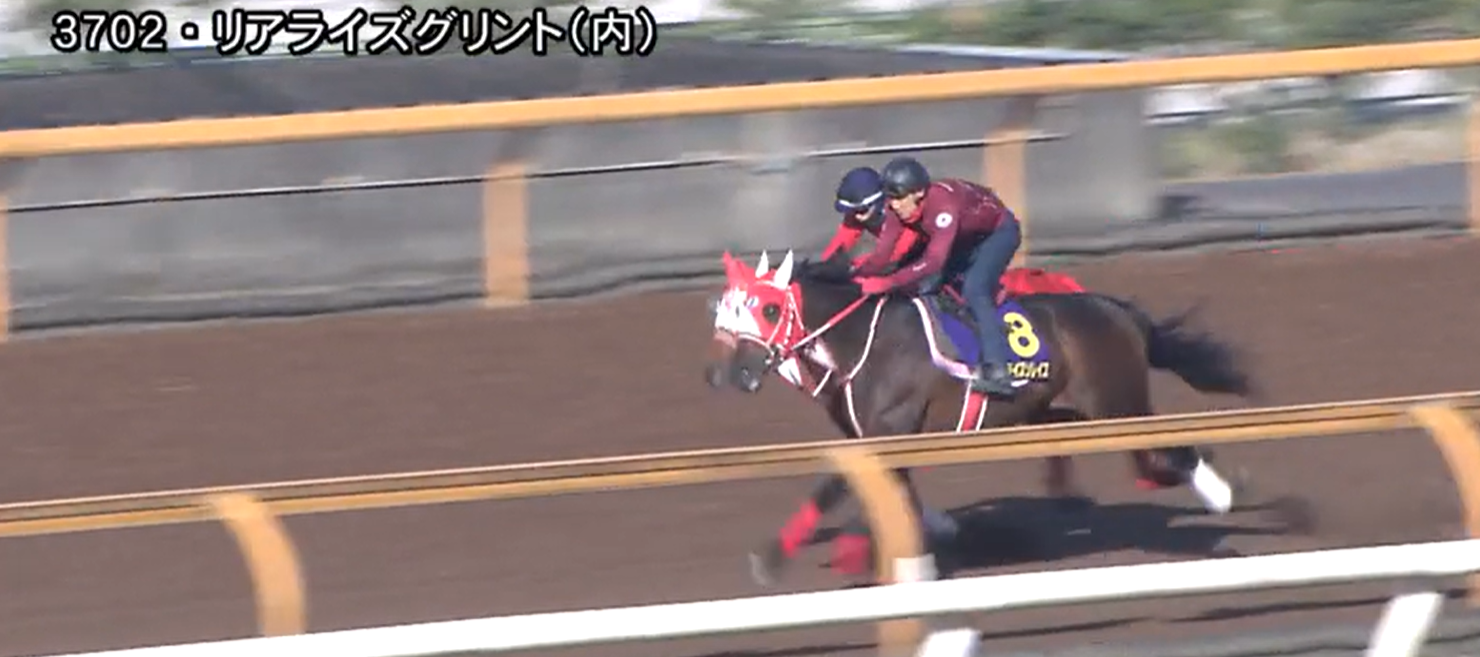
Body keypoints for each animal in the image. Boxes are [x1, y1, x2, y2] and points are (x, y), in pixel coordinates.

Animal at [704, 248, 1261, 585]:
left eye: (768, 310)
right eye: (725, 315)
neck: (863, 338)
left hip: (1115, 400)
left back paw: (1219, 492)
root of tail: (1117, 310)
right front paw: (926, 548)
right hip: (1058, 410)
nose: (730, 374)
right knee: (1127, 451)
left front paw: (772, 560)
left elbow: (836, 489)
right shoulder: (884, 437)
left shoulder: (888, 430)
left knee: (1165, 445)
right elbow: (892, 494)